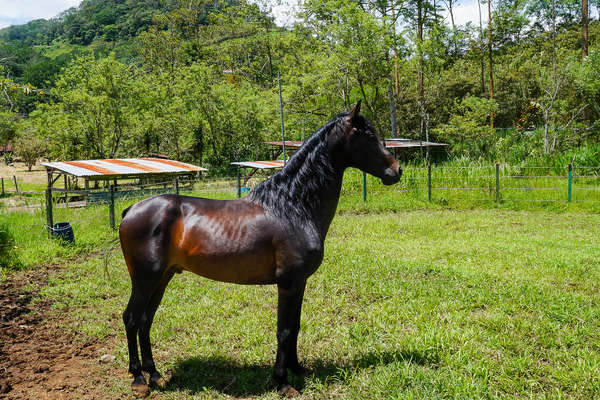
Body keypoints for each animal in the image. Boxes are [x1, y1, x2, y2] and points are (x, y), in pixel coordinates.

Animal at [118, 101, 400, 396]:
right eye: (368, 136)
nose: (397, 171)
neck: (292, 208)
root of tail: (131, 210)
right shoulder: (287, 283)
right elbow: (284, 330)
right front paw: (282, 381)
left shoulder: (299, 282)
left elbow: (295, 326)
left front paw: (297, 369)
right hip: (145, 279)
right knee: (131, 318)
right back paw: (138, 378)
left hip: (163, 278)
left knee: (146, 320)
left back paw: (154, 374)